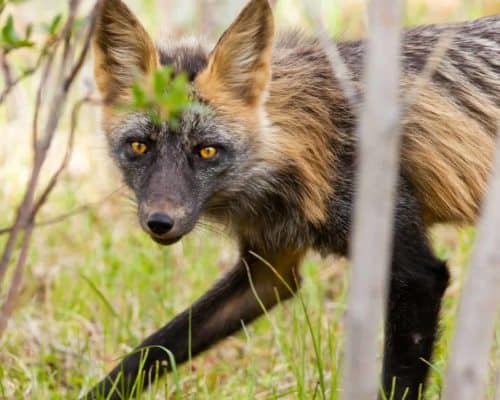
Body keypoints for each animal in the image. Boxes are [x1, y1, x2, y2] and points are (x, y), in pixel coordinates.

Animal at [84, 0, 498, 398]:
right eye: (139, 146)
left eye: (207, 151)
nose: (159, 222)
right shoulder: (270, 268)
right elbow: (151, 351)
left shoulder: (418, 274)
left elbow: (399, 384)